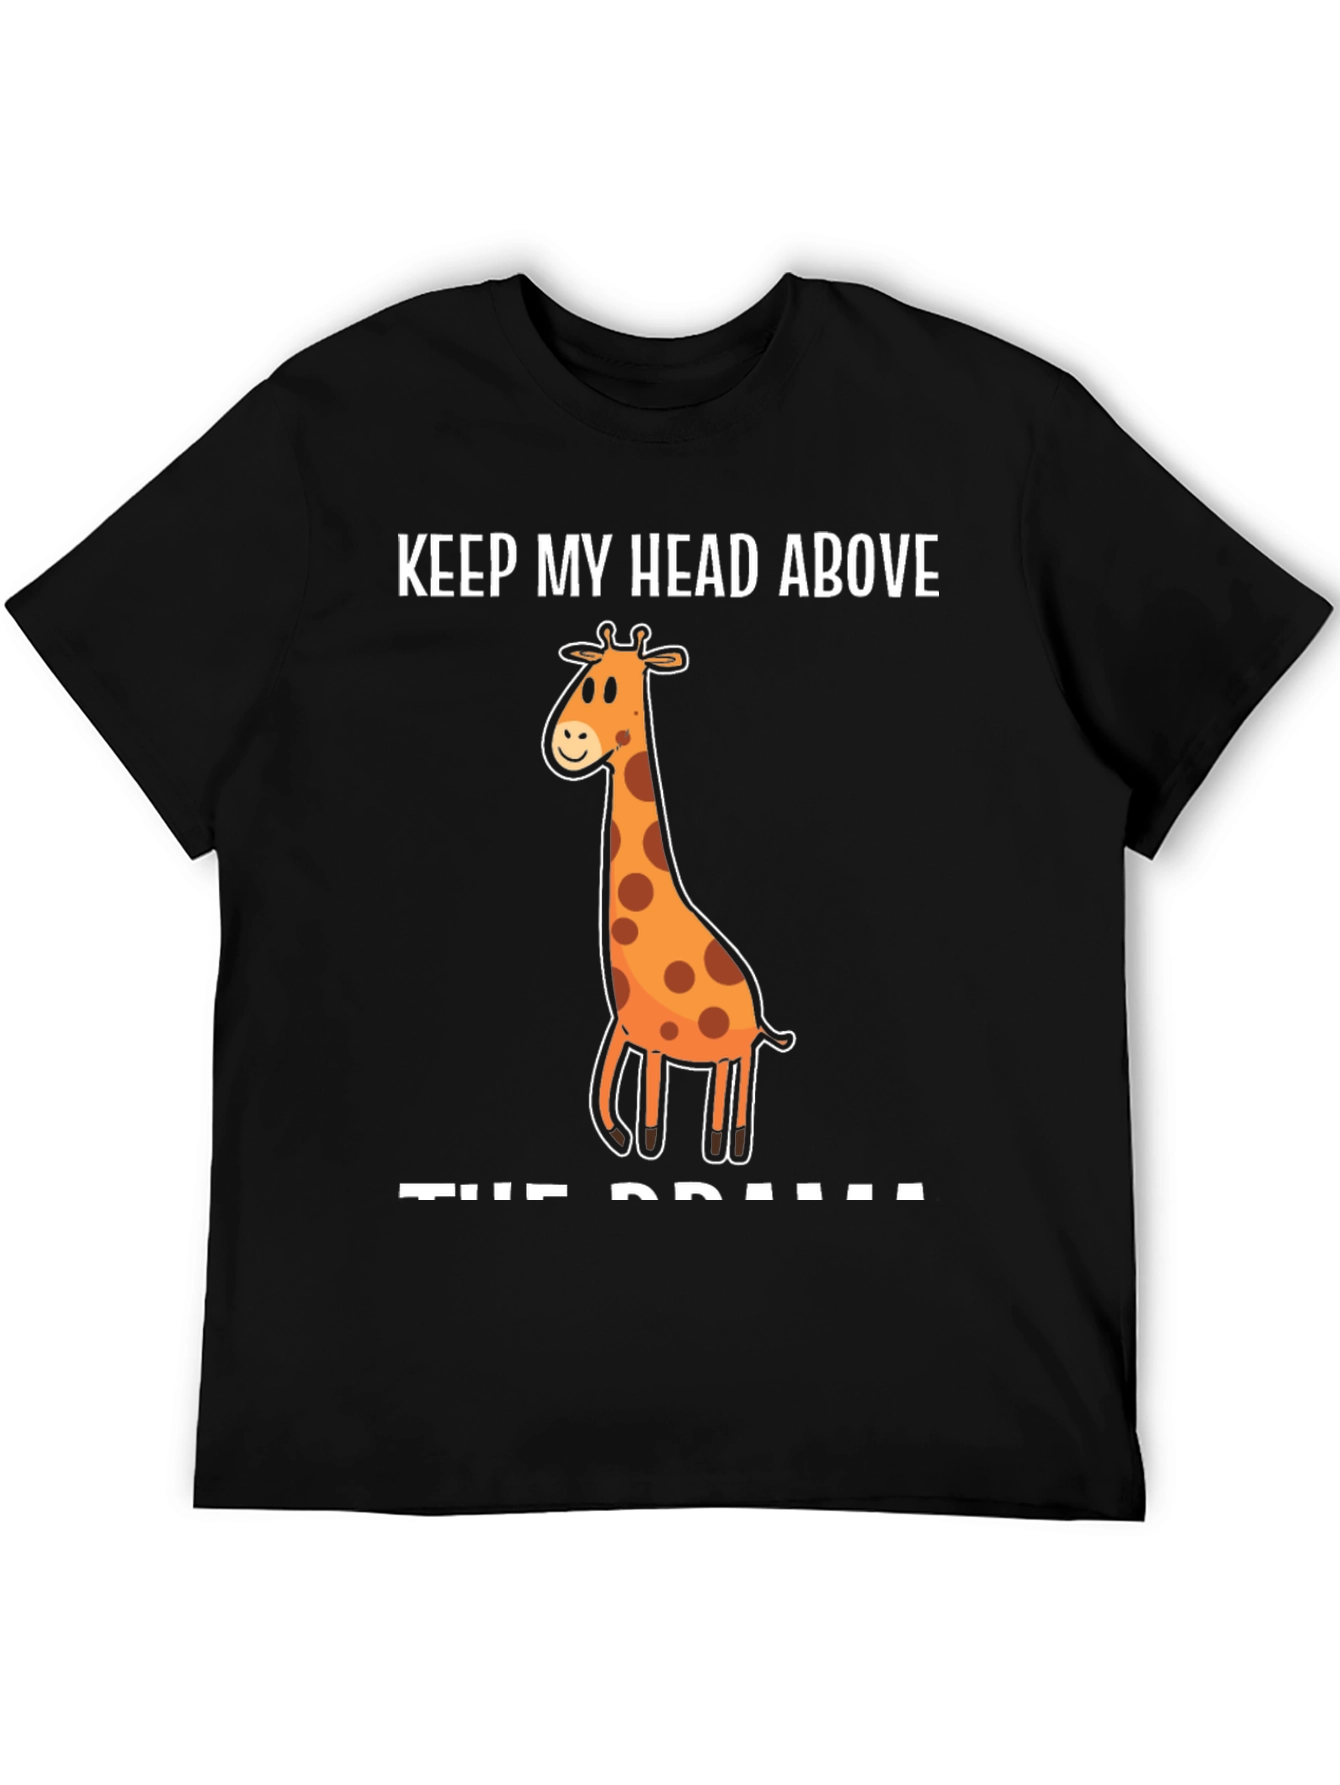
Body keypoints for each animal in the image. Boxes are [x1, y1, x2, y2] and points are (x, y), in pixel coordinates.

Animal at [545, 622, 794, 1164]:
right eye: (585, 682)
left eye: (614, 691)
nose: (569, 737)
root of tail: (760, 1016)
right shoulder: (624, 1026)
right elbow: (604, 1084)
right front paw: (619, 1138)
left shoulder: (655, 1043)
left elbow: (651, 1108)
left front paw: (646, 1145)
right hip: (727, 1051)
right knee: (727, 1085)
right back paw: (723, 1146)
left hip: (737, 1050)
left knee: (735, 1087)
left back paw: (728, 1149)